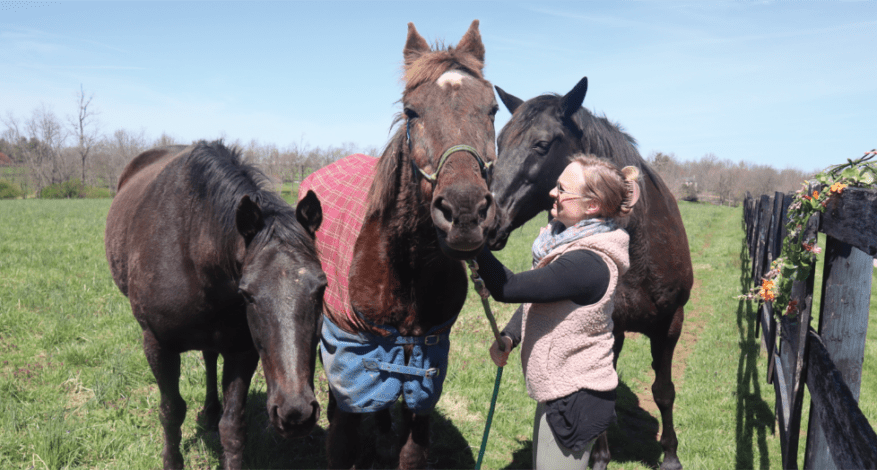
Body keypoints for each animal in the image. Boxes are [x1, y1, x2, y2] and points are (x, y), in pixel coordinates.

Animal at [106, 141, 326, 468]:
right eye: (247, 294)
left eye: (322, 287)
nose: (296, 413)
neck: (190, 247)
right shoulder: (157, 344)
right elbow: (171, 412)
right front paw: (172, 461)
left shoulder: (242, 349)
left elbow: (232, 426)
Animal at [302, 20, 500, 468]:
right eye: (412, 111)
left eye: (493, 109)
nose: (465, 213)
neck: (405, 268)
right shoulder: (352, 363)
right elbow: (342, 438)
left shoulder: (425, 368)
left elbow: (411, 450)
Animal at [492, 78, 692, 470]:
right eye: (499, 142)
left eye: (541, 145)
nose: (483, 216)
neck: (638, 248)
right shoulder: (608, 327)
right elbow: (602, 389)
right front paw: (599, 458)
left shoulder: (671, 323)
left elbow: (664, 391)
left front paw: (671, 455)